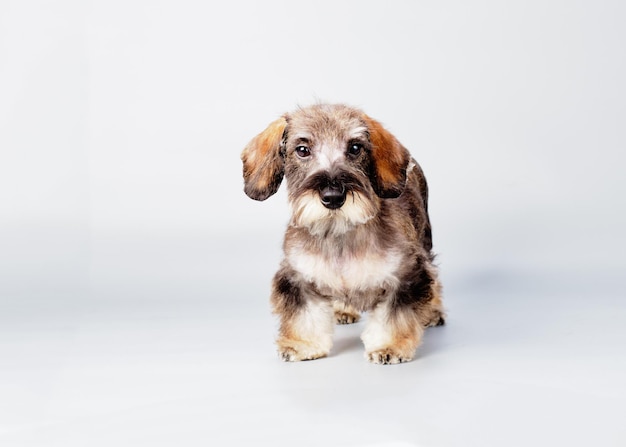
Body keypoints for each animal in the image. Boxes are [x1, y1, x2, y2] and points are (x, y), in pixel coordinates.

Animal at [240, 104, 444, 364]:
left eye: (355, 148)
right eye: (302, 150)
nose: (333, 197)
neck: (339, 233)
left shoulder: (407, 275)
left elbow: (394, 316)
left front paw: (390, 346)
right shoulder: (298, 277)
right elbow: (304, 316)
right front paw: (302, 344)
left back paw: (433, 312)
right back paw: (343, 309)